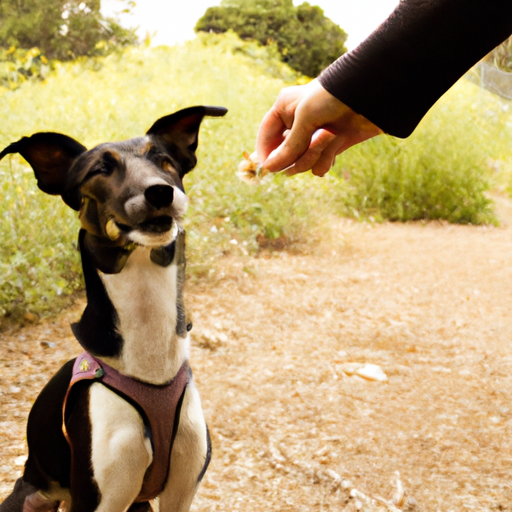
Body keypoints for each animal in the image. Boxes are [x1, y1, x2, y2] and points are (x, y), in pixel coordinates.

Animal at [0, 105, 228, 512]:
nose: (160, 191)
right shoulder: (101, 499)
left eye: (165, 161)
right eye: (100, 169)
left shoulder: (181, 492)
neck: (151, 363)